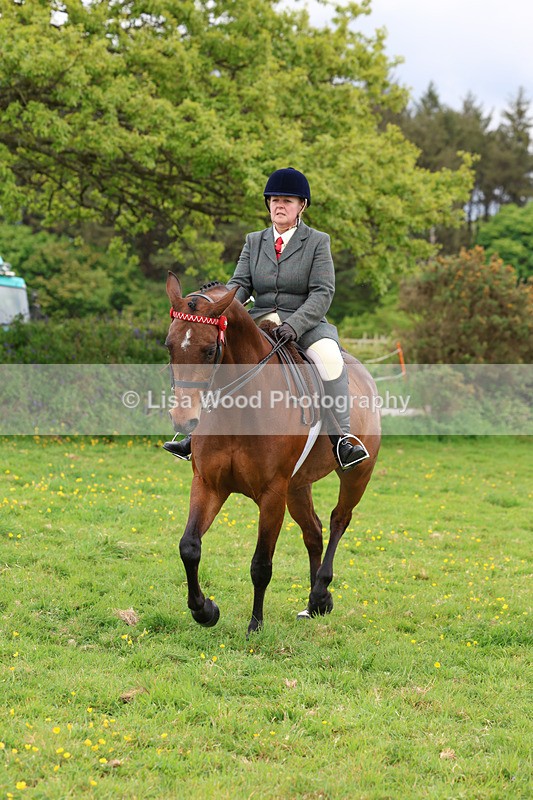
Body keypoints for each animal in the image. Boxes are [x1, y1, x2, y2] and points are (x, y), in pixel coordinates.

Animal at [165, 272, 381, 635]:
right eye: (169, 345)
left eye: (209, 350)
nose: (183, 419)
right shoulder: (208, 484)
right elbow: (189, 547)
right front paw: (204, 610)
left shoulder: (272, 494)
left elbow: (261, 564)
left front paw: (255, 624)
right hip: (298, 486)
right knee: (313, 531)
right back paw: (316, 603)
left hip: (355, 475)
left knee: (338, 520)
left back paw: (320, 591)